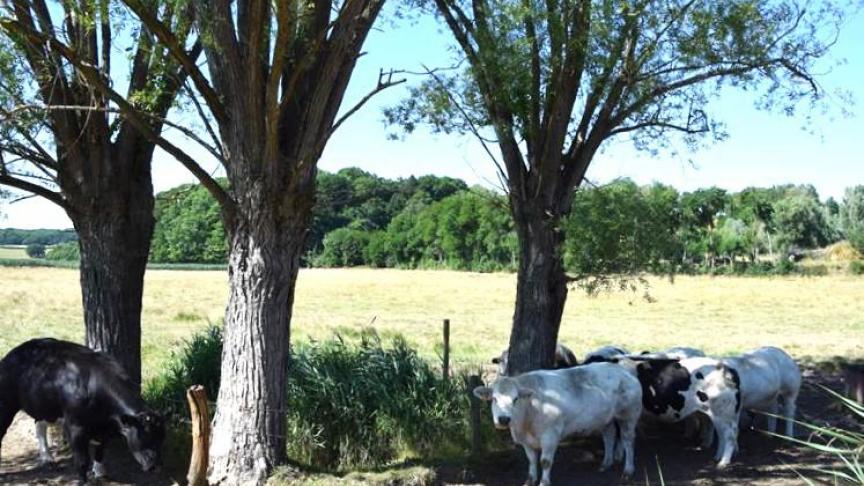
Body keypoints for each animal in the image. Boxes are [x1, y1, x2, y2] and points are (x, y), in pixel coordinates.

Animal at [0, 340, 165, 484]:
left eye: (161, 438)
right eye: (144, 436)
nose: (155, 466)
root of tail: (14, 353)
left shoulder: (104, 427)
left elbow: (100, 450)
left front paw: (100, 472)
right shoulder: (76, 427)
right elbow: (82, 460)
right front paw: (83, 481)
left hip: (44, 406)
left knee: (40, 424)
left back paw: (47, 458)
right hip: (7, 404)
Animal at [472, 362, 640, 484]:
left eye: (516, 399)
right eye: (494, 399)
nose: (504, 419)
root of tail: (623, 370)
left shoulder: (550, 436)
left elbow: (545, 462)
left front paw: (544, 482)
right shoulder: (526, 441)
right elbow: (531, 460)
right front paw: (530, 480)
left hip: (629, 415)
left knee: (628, 440)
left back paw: (628, 470)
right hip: (606, 418)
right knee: (609, 435)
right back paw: (606, 463)